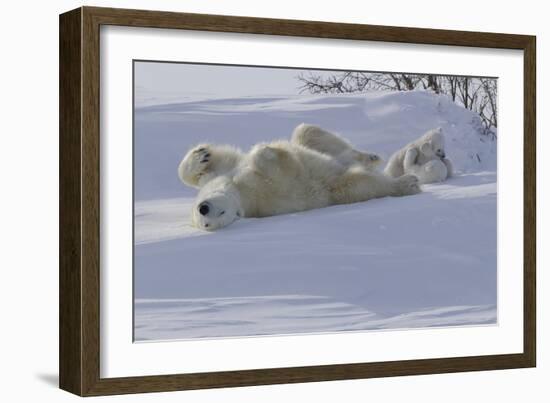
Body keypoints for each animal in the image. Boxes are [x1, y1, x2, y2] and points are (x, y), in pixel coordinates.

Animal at [179, 124, 420, 230]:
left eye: (219, 212)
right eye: (206, 223)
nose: (204, 208)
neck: (239, 191)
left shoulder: (223, 174)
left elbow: (206, 168)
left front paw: (201, 154)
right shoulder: (265, 194)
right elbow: (285, 170)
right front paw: (266, 152)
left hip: (318, 144)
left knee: (307, 132)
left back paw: (370, 157)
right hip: (336, 189)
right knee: (359, 183)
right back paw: (407, 183)